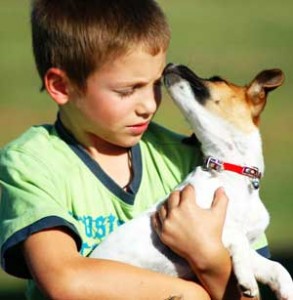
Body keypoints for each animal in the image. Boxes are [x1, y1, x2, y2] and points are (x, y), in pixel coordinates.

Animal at [90, 63, 292, 300]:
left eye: (216, 79)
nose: (170, 64)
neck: (231, 175)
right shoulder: (209, 229)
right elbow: (238, 239)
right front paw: (247, 279)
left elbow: (274, 265)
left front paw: (284, 287)